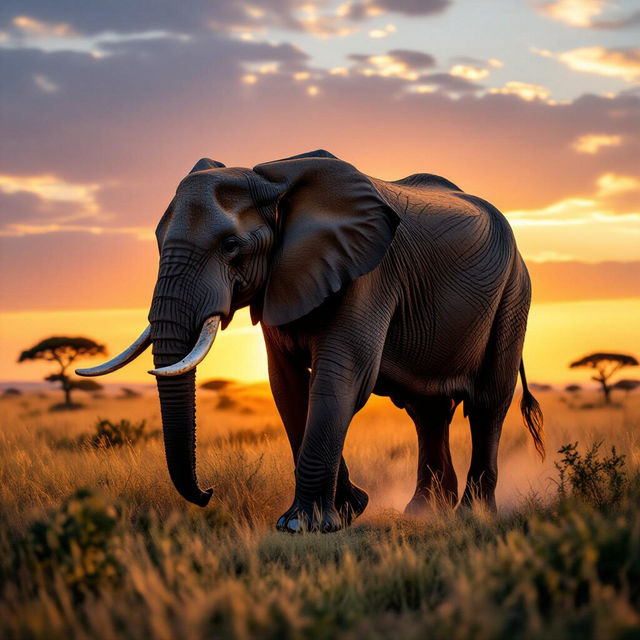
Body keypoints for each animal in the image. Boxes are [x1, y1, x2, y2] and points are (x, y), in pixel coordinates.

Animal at [77, 149, 544, 533]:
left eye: (230, 246)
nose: (208, 492)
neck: (273, 181)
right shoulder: (281, 278)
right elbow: (287, 385)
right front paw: (350, 507)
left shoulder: (369, 273)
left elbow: (341, 378)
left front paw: (303, 525)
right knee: (426, 411)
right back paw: (424, 513)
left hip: (513, 293)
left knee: (487, 403)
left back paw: (471, 514)